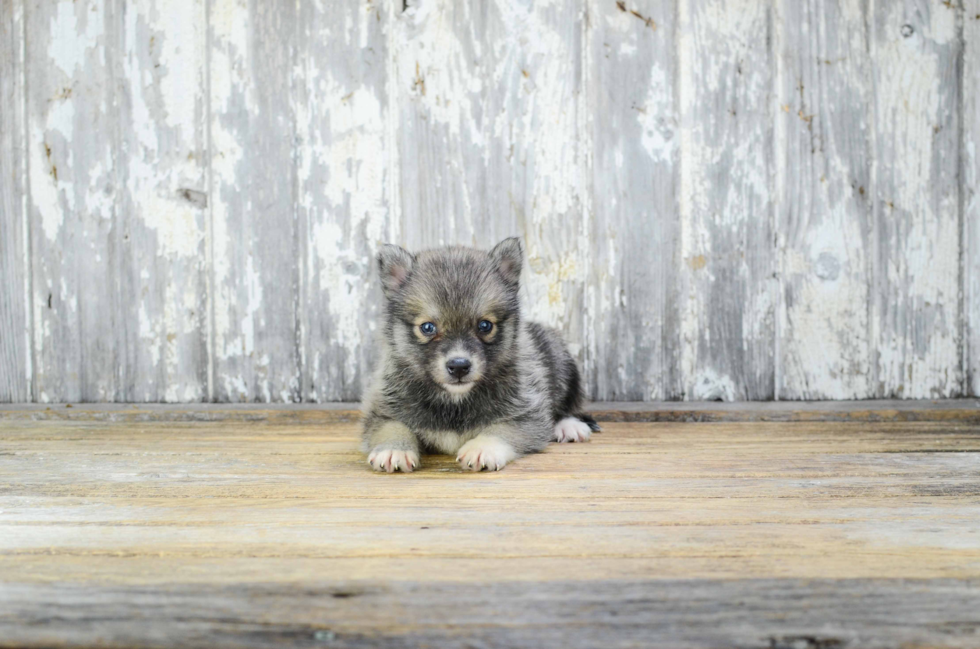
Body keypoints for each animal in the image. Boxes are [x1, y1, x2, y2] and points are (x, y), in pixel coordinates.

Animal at [360, 238, 596, 470]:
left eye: (485, 325)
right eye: (427, 327)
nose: (459, 366)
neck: (455, 401)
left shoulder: (527, 415)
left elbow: (500, 430)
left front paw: (483, 448)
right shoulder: (380, 410)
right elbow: (393, 427)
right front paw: (394, 449)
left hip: (561, 362)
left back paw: (568, 426)